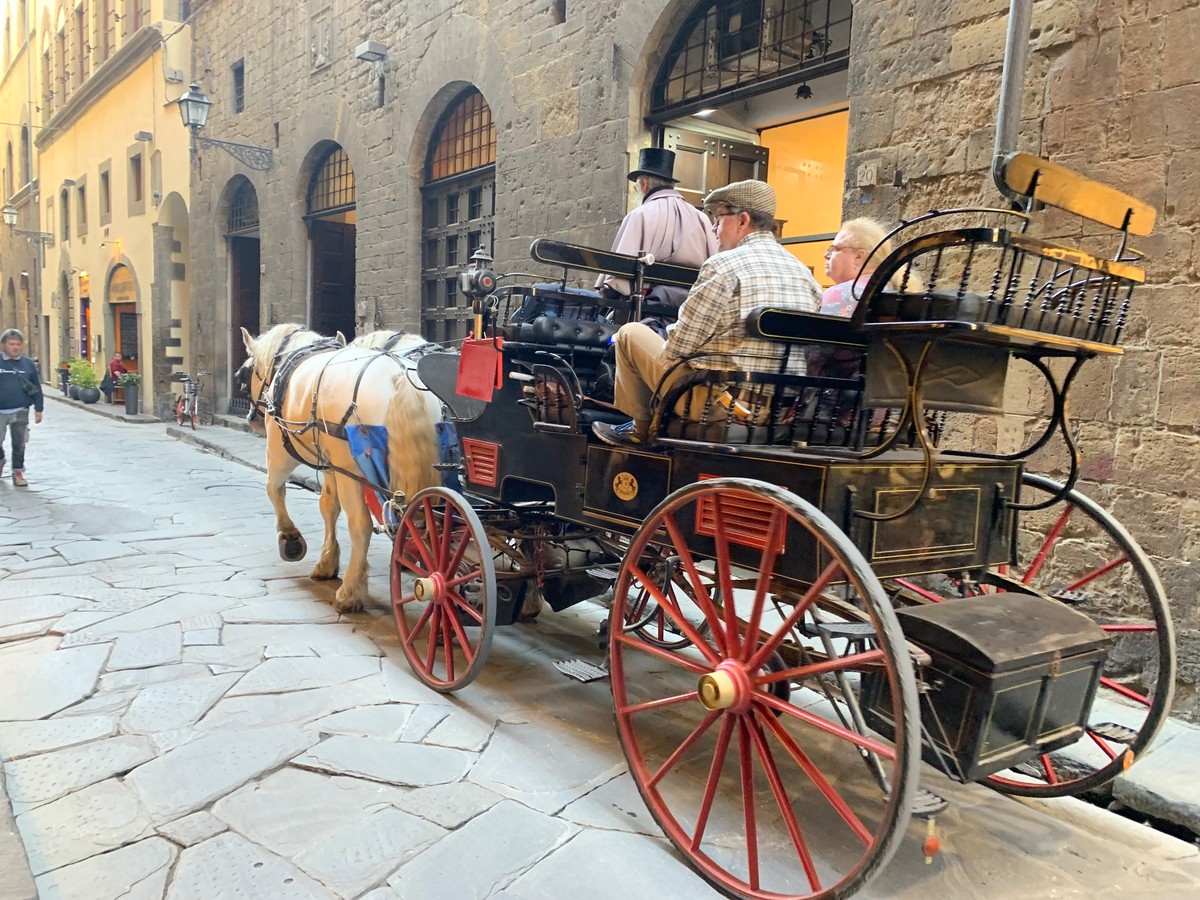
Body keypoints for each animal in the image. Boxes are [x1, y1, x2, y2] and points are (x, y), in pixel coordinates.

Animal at [239, 324, 441, 612]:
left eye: (248, 371)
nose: (252, 418)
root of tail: (398, 377)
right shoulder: (331, 465)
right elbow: (328, 505)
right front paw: (327, 561)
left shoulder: (280, 450)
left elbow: (274, 488)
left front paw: (290, 538)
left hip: (352, 471)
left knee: (361, 524)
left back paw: (351, 592)